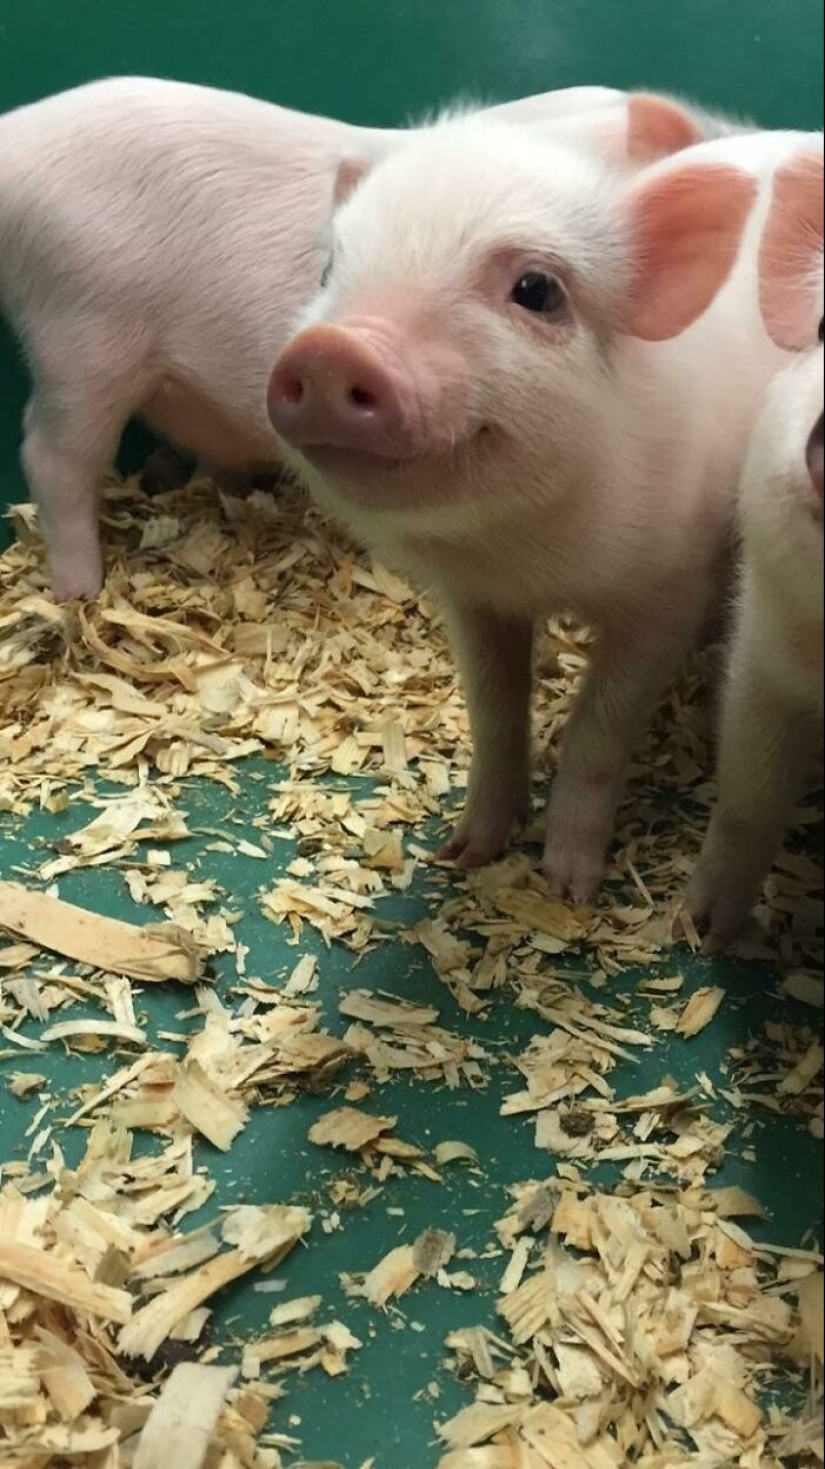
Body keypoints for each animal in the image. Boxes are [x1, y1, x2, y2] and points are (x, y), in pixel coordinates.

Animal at [268, 115, 823, 902]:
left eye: (536, 290)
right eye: (327, 271)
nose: (329, 349)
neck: (526, 554)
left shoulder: (667, 592)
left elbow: (599, 727)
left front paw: (569, 888)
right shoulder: (474, 600)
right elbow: (495, 711)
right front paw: (464, 851)